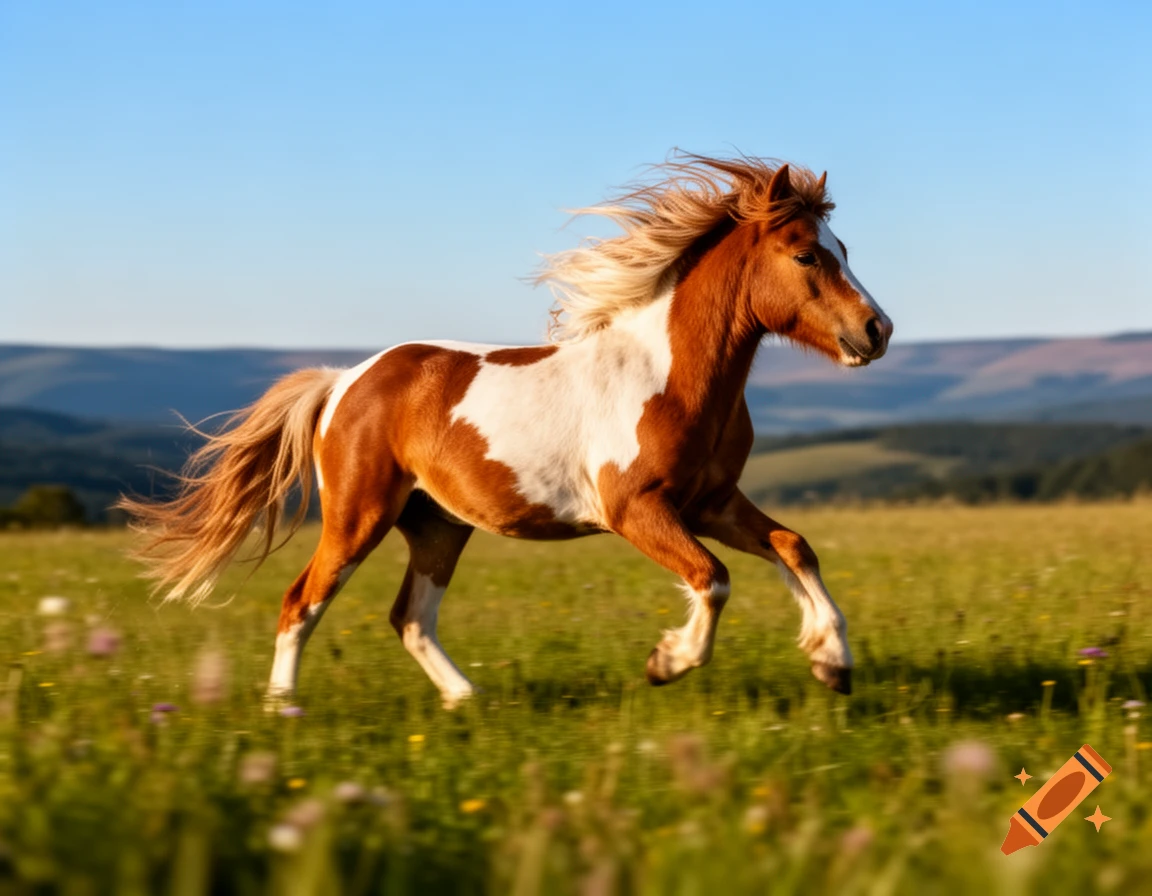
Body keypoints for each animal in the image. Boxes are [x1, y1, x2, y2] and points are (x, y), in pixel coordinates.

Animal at [119, 154, 893, 709]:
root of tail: (344, 381)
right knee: (301, 599)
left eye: (844, 247)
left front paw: (832, 663)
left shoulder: (712, 502)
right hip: (359, 513)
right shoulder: (636, 510)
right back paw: (284, 711)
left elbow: (793, 548)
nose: (877, 330)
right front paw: (666, 663)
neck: (669, 379)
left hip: (437, 525)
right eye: (806, 255)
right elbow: (713, 579)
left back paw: (470, 699)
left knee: (409, 616)